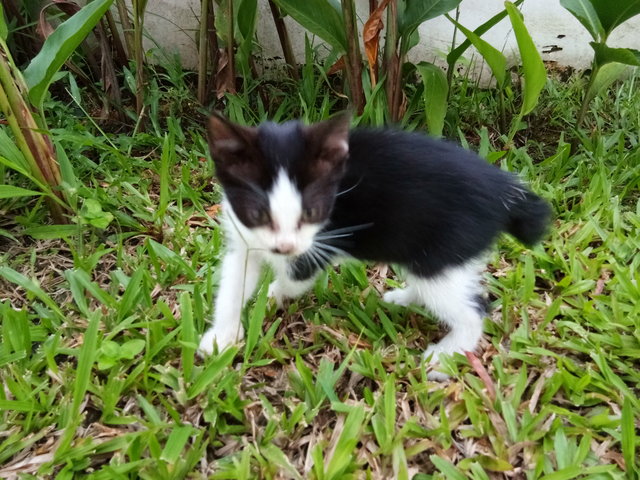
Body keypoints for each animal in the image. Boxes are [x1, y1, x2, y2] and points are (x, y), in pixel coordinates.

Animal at [200, 111, 552, 378]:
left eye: (311, 212)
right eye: (258, 213)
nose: (284, 248)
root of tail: (506, 192)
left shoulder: (321, 239)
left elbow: (297, 275)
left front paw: (275, 293)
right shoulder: (243, 237)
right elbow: (234, 281)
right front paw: (221, 337)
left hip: (447, 242)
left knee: (471, 307)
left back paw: (444, 356)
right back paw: (404, 298)